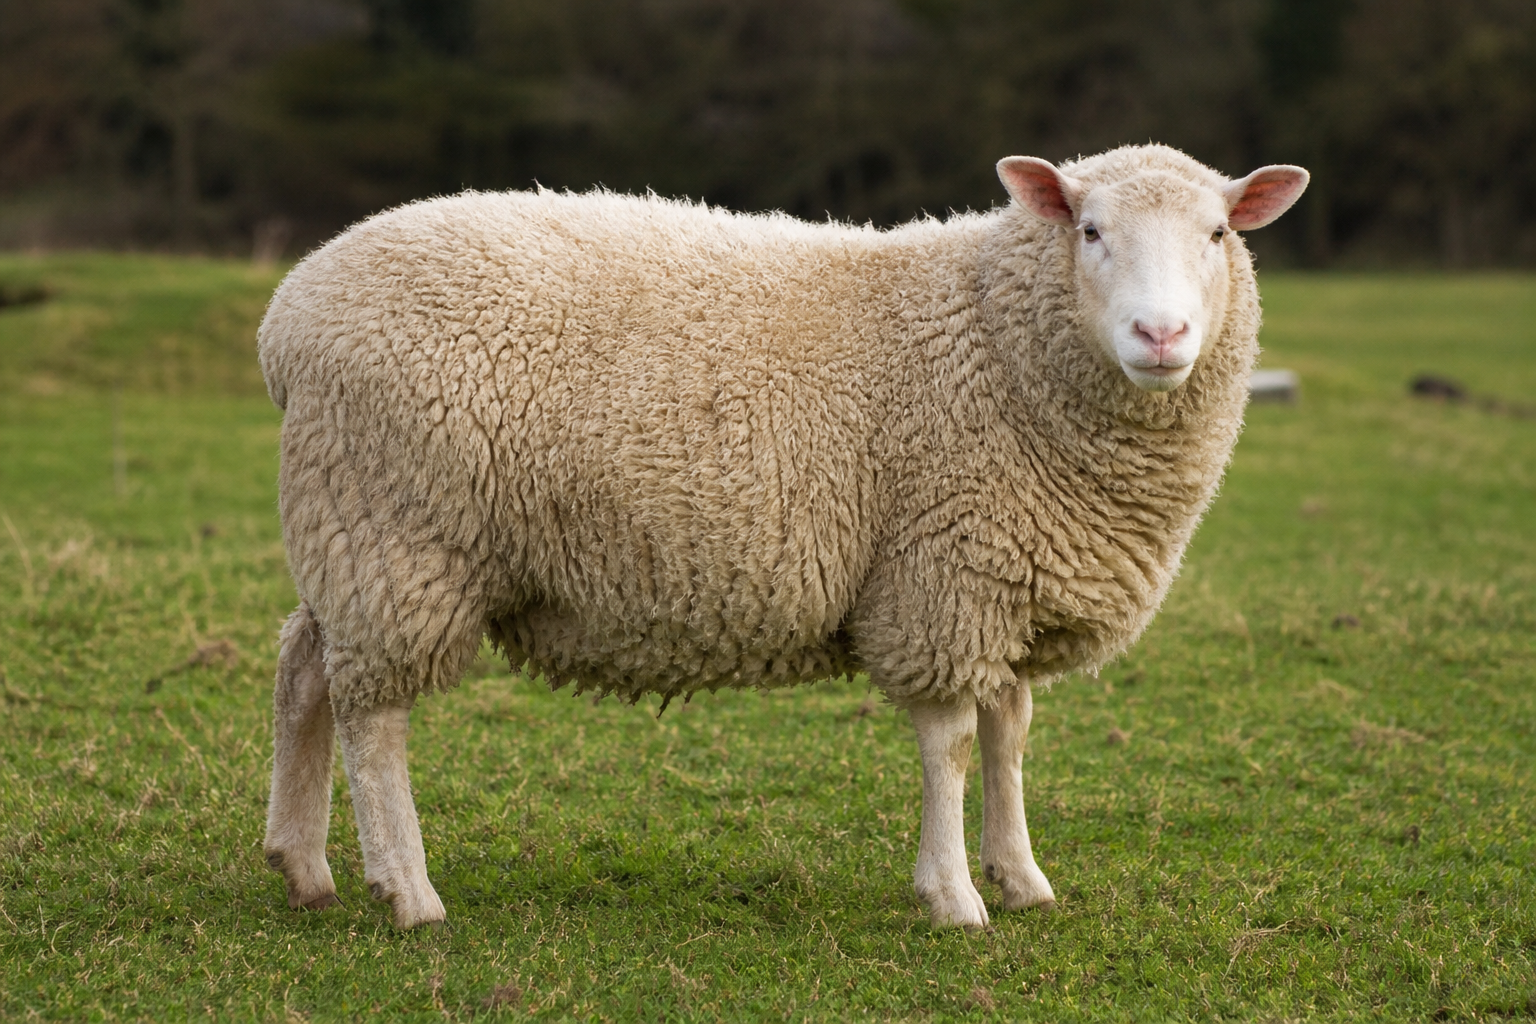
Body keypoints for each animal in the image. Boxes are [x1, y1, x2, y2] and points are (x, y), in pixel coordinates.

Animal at [258, 143, 1308, 930]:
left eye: (1218, 233)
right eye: (1090, 231)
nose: (1161, 336)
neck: (989, 334)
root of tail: (288, 315)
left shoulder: (1002, 579)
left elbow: (1009, 735)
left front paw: (1023, 879)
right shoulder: (938, 577)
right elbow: (952, 744)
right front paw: (953, 896)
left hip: (349, 530)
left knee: (304, 669)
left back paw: (304, 867)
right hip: (398, 536)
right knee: (373, 717)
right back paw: (409, 891)